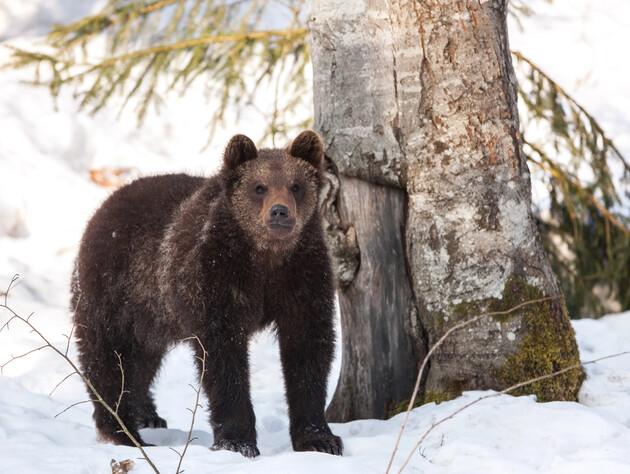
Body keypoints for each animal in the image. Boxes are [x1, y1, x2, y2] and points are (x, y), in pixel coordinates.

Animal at [71, 131, 344, 458]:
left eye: (296, 185)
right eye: (259, 187)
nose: (280, 211)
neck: (264, 257)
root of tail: (105, 205)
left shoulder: (302, 277)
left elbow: (308, 350)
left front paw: (320, 438)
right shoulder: (214, 279)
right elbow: (222, 359)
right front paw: (237, 441)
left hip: (152, 313)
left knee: (143, 360)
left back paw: (148, 415)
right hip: (114, 291)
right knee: (109, 357)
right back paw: (123, 430)